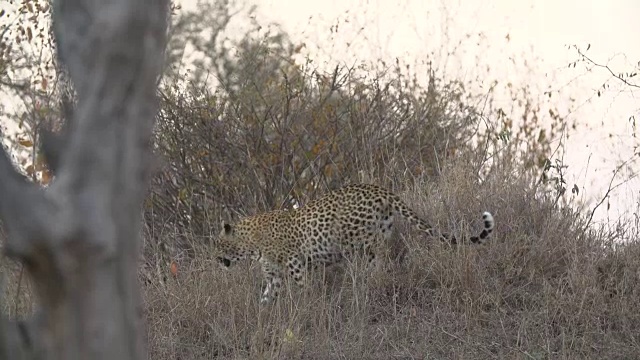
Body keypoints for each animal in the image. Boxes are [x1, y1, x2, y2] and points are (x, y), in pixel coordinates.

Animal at [211, 183, 496, 304]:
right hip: (380, 232)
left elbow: (303, 288)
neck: (250, 244)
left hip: (359, 240)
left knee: (377, 261)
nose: (214, 260)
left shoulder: (294, 262)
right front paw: (262, 315)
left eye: (217, 246)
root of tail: (381, 189)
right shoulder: (273, 275)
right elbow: (267, 297)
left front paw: (307, 306)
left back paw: (367, 285)